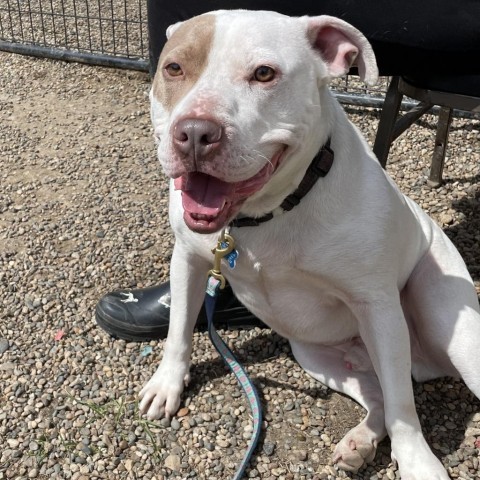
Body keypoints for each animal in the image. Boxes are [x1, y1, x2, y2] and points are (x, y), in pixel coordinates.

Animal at [138, 9, 480, 478]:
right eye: (173, 68)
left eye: (264, 73)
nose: (193, 133)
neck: (266, 213)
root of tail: (425, 363)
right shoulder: (188, 260)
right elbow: (179, 329)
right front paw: (168, 383)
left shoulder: (377, 306)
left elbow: (404, 412)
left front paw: (418, 464)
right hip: (319, 355)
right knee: (379, 396)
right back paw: (360, 441)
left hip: (452, 328)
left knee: (398, 391)